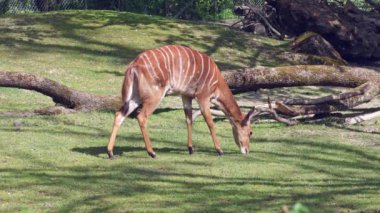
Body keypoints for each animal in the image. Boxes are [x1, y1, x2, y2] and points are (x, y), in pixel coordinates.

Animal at [107, 45, 255, 158]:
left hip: (134, 98)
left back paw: (110, 153)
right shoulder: (203, 96)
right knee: (141, 116)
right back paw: (152, 152)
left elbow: (188, 119)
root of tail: (132, 66)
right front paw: (219, 150)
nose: (247, 151)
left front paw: (190, 149)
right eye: (250, 132)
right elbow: (210, 122)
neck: (217, 84)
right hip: (155, 95)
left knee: (119, 114)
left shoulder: (186, 96)